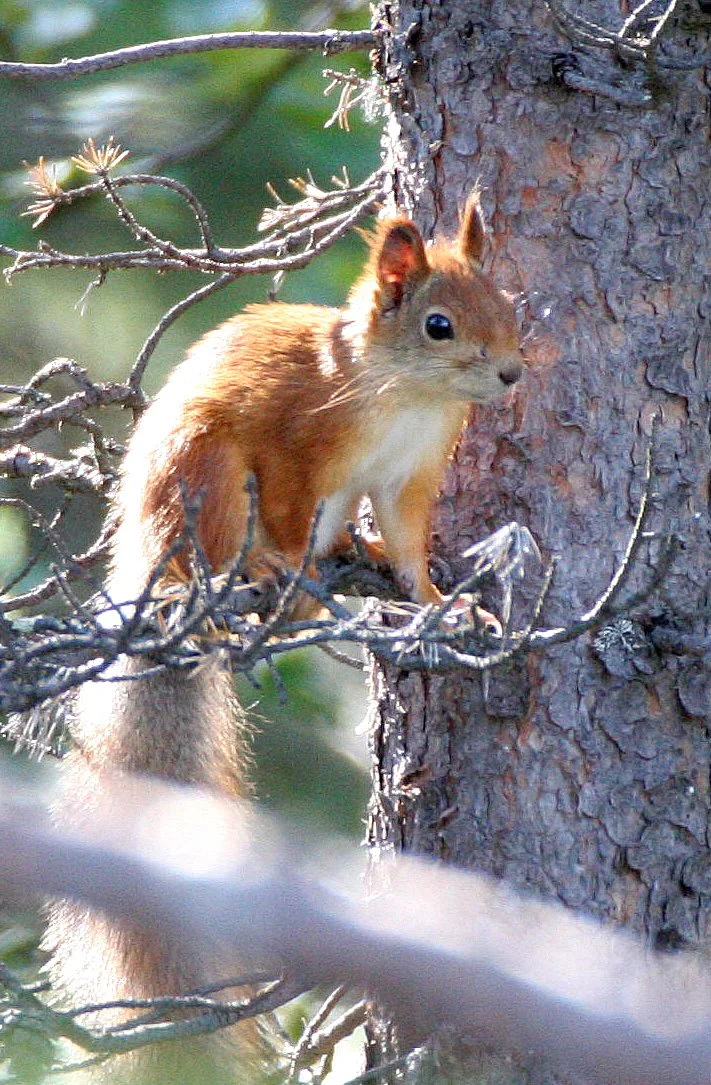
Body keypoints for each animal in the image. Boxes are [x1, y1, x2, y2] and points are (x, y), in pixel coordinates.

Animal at [43, 193, 524, 1082]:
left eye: (507, 305)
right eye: (438, 324)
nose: (510, 373)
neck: (403, 392)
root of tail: (146, 560)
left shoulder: (406, 481)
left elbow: (410, 548)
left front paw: (442, 602)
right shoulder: (300, 452)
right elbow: (296, 510)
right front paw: (296, 573)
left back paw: (348, 554)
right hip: (209, 475)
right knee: (225, 544)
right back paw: (264, 580)